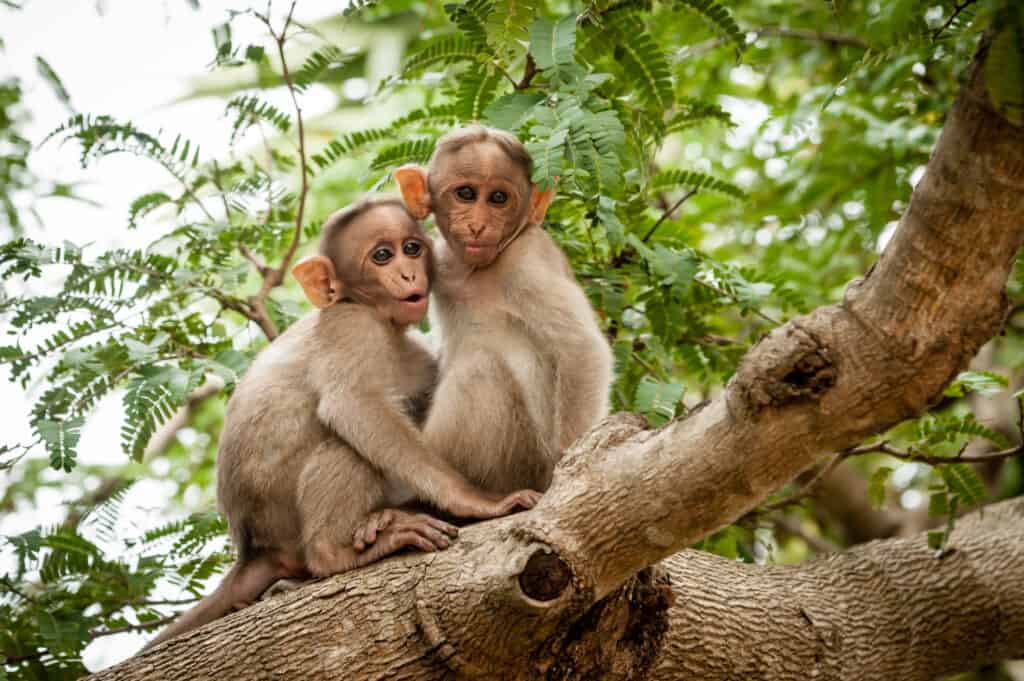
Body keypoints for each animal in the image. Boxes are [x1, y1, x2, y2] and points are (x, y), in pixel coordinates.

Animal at [146, 195, 544, 647]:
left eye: (412, 248)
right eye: (382, 256)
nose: (408, 273)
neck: (364, 308)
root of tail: (254, 550)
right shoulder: (352, 326)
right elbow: (353, 405)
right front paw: (472, 499)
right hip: (285, 525)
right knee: (345, 445)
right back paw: (335, 553)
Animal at [395, 125, 610, 499]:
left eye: (498, 198)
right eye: (466, 194)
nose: (479, 225)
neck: (478, 270)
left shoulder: (527, 264)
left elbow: (582, 348)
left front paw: (569, 451)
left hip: (521, 458)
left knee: (481, 371)